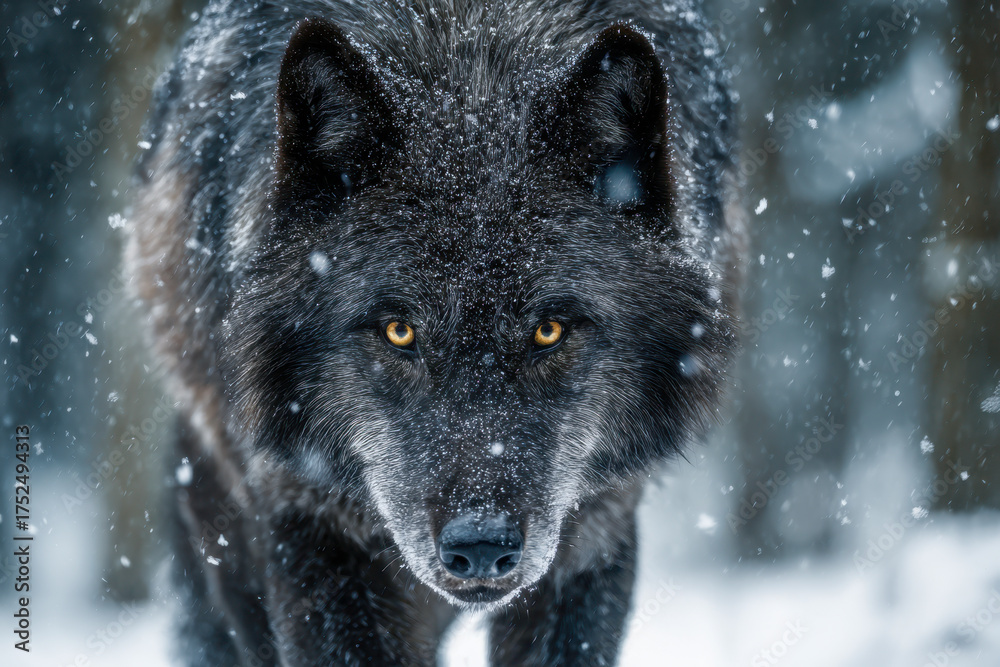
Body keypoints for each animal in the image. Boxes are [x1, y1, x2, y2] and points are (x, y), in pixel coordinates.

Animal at [126, 0, 743, 664]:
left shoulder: (596, 532)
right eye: (400, 331)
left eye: (548, 331)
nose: (480, 544)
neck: (470, 53)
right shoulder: (303, 517)